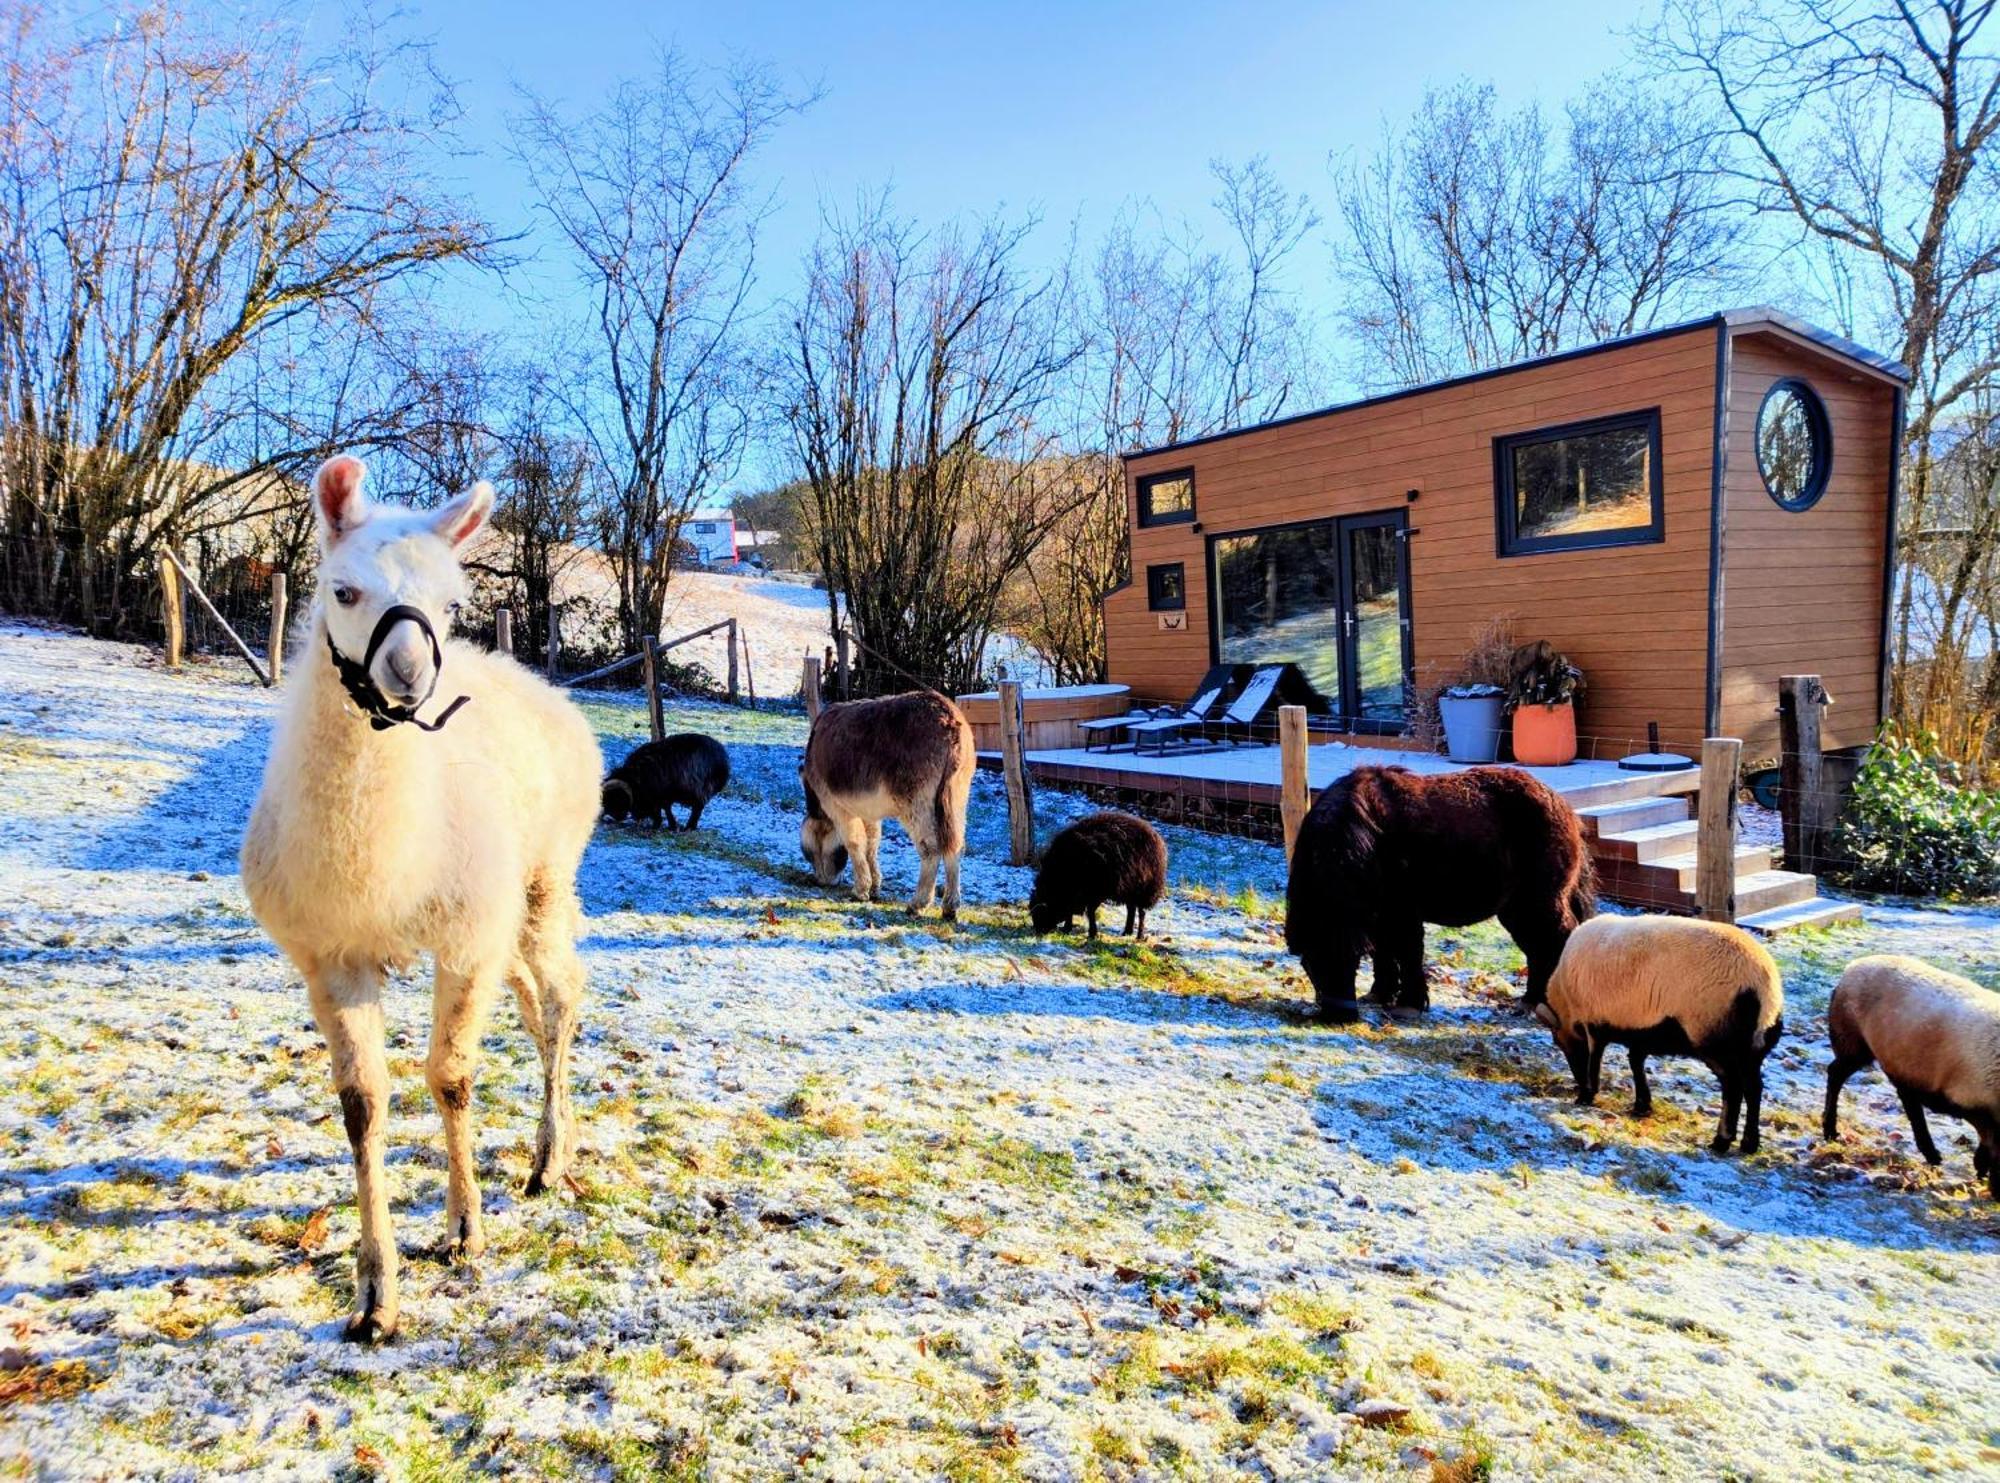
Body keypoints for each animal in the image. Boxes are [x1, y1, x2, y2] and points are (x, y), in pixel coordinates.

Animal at [608, 735, 744, 835]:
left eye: (615, 798)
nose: (617, 817)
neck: (635, 780)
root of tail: (722, 761)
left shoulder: (658, 796)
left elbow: (662, 810)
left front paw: (661, 825)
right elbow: (664, 810)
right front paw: (667, 825)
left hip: (700, 790)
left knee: (697, 808)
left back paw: (689, 827)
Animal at [1024, 811, 1168, 939]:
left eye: (1041, 914)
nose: (1038, 932)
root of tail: (1156, 836)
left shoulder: (1095, 891)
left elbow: (1090, 912)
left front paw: (1092, 933)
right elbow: (1072, 910)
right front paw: (1067, 928)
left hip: (1145, 888)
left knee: (1141, 912)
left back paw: (1139, 935)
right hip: (1129, 888)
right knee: (1131, 909)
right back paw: (1127, 931)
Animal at [1288, 767, 1600, 1023]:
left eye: (1351, 959)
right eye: (1311, 960)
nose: (1341, 1016)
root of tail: (1564, 807)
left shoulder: (1401, 910)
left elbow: (1407, 952)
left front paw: (1408, 1004)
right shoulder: (1378, 912)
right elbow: (1383, 952)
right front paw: (1380, 993)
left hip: (1540, 903)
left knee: (1557, 940)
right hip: (1516, 910)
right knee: (1538, 950)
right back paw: (1529, 1002)